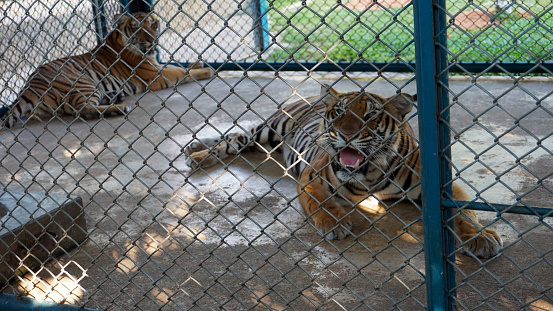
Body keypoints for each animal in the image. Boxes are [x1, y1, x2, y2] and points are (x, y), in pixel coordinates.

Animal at [0, 11, 213, 129]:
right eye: (137, 29)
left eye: (153, 24)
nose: (152, 40)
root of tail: (27, 86)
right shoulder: (154, 74)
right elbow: (181, 72)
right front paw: (207, 71)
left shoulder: (157, 65)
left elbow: (176, 64)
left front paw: (198, 63)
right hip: (82, 82)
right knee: (83, 110)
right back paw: (119, 108)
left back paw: (115, 97)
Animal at [187, 84, 504, 258]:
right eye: (339, 113)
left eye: (370, 115)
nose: (346, 135)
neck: (370, 173)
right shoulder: (312, 177)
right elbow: (321, 203)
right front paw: (335, 224)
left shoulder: (442, 185)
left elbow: (463, 212)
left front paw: (481, 239)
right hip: (271, 128)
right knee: (234, 138)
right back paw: (198, 154)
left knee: (235, 139)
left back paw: (195, 148)